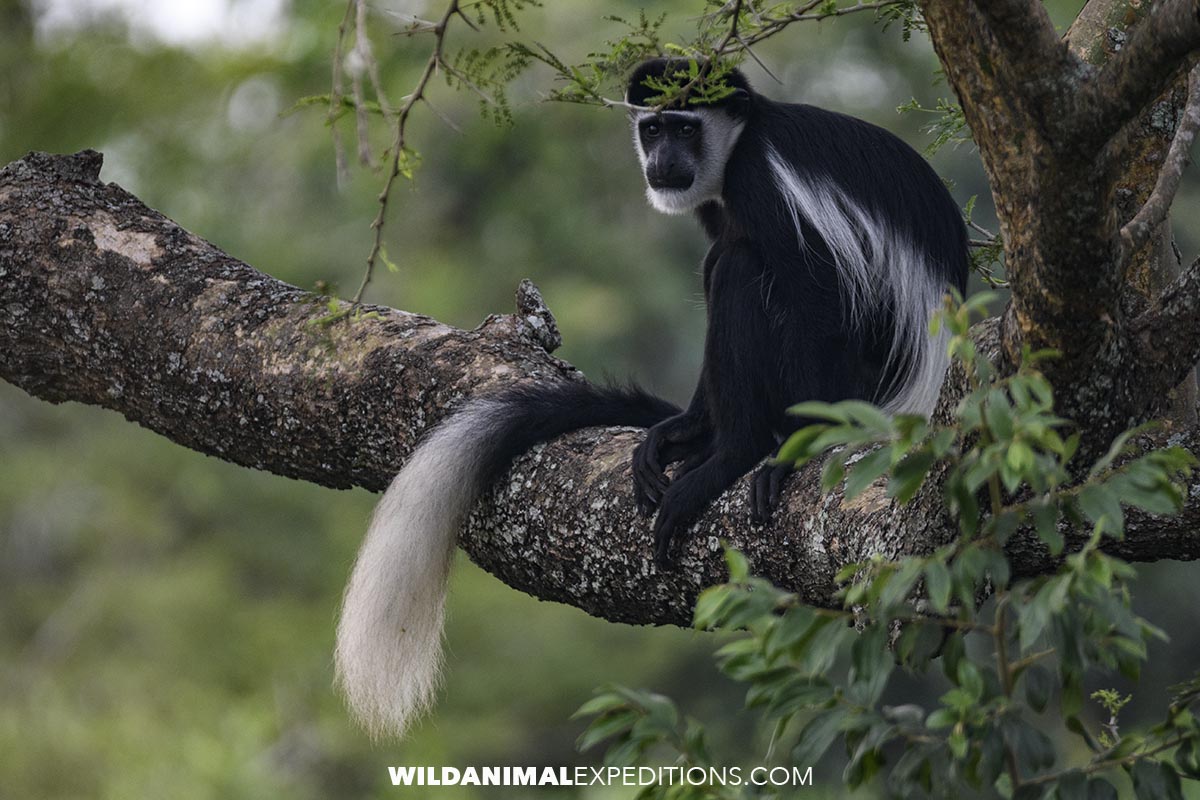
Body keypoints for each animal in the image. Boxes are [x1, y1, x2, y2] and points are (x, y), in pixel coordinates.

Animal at [334, 57, 967, 738]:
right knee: (723, 263)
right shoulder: (720, 201)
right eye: (654, 128)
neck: (740, 143)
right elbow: (716, 257)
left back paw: (737, 451)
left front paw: (781, 449)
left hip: (853, 376)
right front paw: (682, 430)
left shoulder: (765, 184)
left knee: (745, 269)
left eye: (687, 128)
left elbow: (816, 290)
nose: (663, 160)